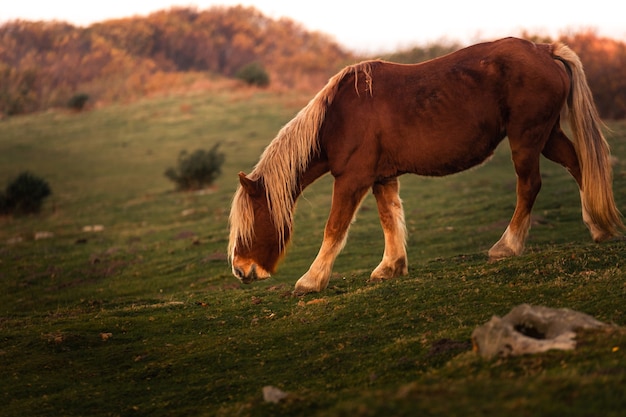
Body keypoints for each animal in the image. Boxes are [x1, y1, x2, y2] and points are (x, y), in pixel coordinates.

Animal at [227, 37, 620, 294]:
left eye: (251, 225)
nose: (240, 270)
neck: (336, 117)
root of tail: (544, 50)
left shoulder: (352, 179)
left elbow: (334, 228)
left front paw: (311, 280)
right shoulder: (381, 178)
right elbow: (390, 219)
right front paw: (391, 267)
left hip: (526, 137)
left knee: (530, 185)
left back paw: (507, 246)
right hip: (548, 134)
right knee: (578, 166)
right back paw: (598, 228)